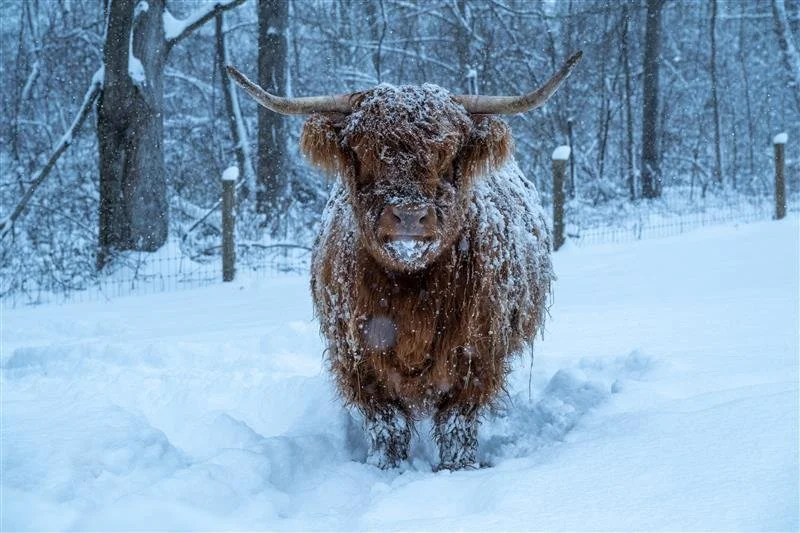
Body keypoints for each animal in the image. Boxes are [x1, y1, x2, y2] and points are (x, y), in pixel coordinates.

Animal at [228, 51, 581, 470]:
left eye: (449, 154)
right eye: (362, 151)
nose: (409, 215)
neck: (412, 290)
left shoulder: (478, 352)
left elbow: (457, 420)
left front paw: (456, 468)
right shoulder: (357, 356)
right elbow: (387, 422)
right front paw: (386, 468)